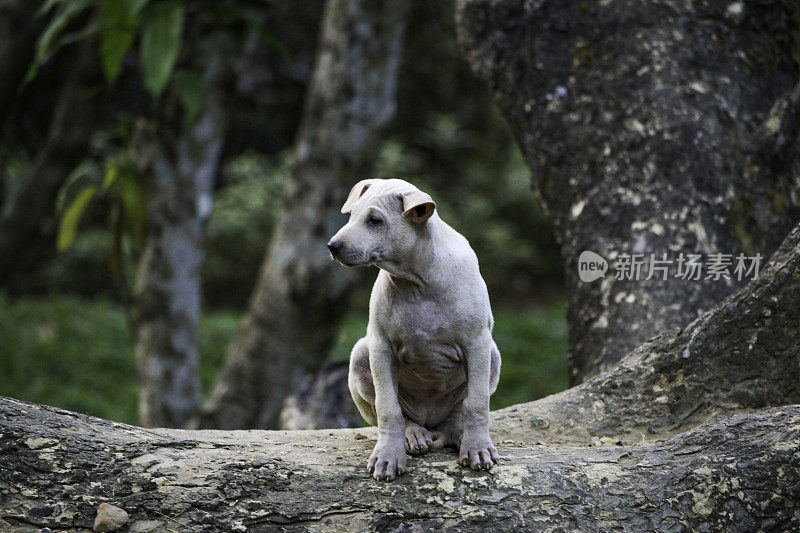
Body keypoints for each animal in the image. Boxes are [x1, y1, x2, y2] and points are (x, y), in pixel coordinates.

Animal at [326, 178, 500, 478]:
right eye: (351, 215)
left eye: (374, 220)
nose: (332, 246)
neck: (417, 280)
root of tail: (430, 422)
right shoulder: (381, 347)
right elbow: (388, 407)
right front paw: (388, 456)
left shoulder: (476, 343)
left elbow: (477, 402)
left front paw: (478, 448)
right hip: (361, 354)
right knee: (398, 413)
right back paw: (413, 434)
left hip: (492, 355)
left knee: (459, 410)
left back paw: (457, 433)